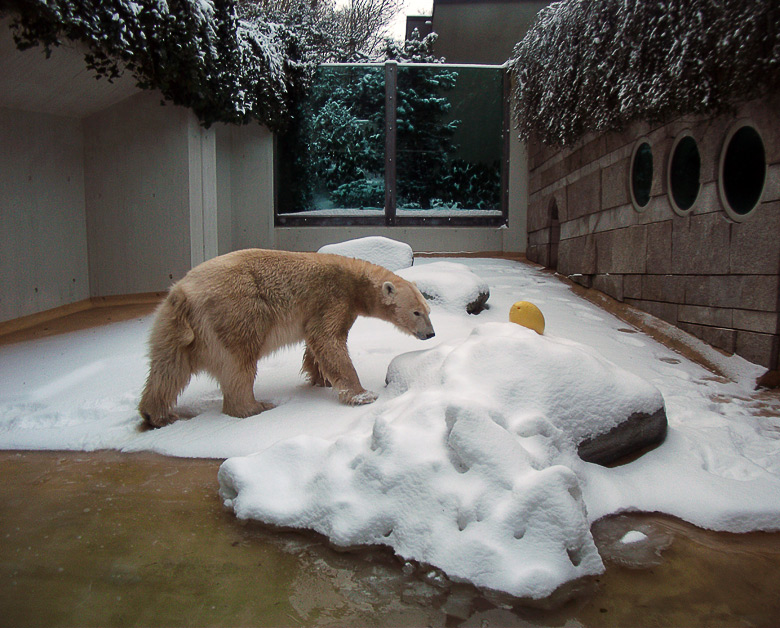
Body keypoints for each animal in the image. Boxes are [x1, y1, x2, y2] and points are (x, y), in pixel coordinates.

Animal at [138, 248, 436, 430]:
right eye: (416, 312)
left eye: (429, 311)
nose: (430, 333)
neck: (353, 280)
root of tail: (184, 293)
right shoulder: (333, 296)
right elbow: (328, 338)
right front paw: (363, 394)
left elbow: (315, 345)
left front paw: (321, 380)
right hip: (236, 312)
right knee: (239, 363)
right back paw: (255, 406)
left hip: (172, 325)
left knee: (169, 368)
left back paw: (158, 414)